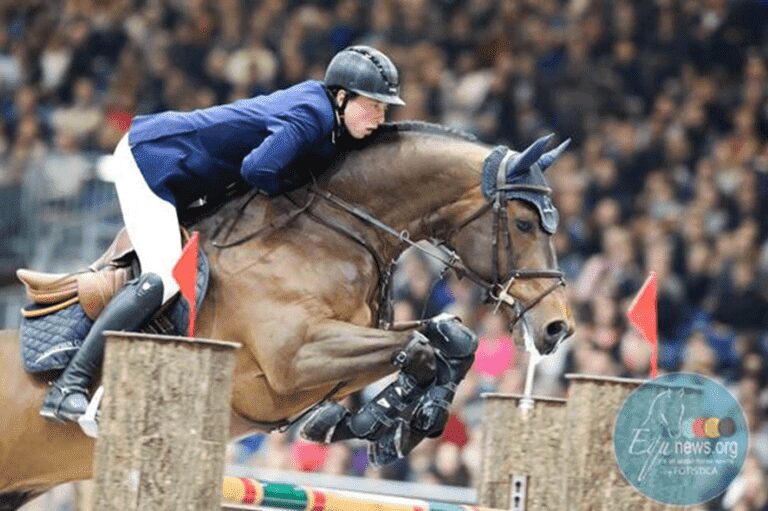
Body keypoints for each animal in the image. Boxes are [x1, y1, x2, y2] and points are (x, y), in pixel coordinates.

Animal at [0, 122, 575, 508]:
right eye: (525, 223)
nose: (557, 327)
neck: (328, 235)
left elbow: (450, 338)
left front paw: (378, 424)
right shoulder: (292, 361)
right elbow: (419, 349)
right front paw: (389, 422)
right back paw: (68, 398)